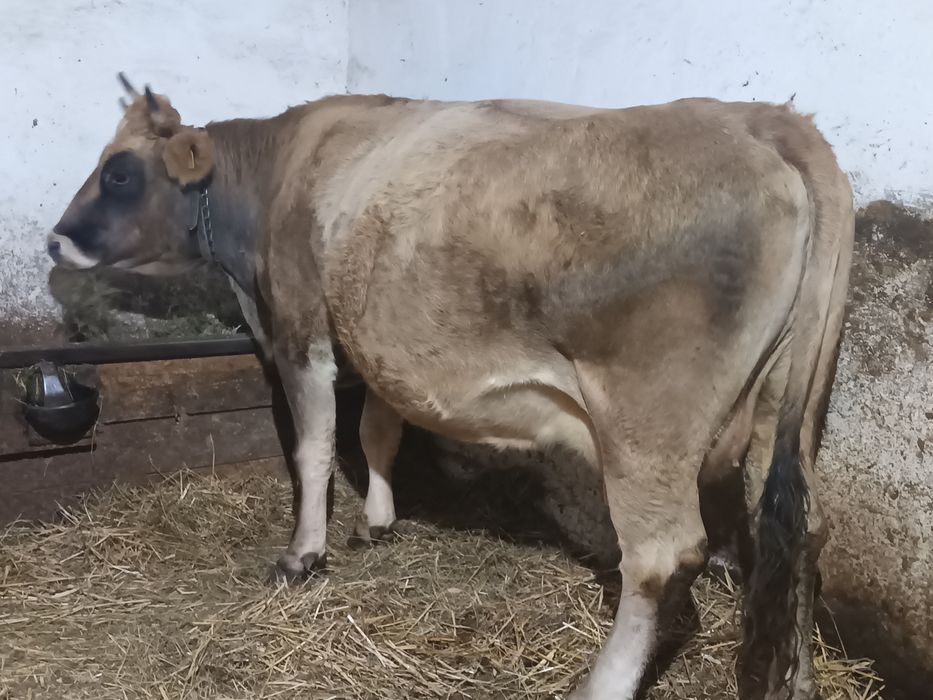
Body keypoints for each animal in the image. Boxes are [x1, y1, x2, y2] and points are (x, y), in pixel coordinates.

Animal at [47, 75, 854, 700]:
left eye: (119, 173)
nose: (55, 238)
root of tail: (758, 117)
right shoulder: (376, 336)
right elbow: (378, 428)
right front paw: (378, 519)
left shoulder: (302, 324)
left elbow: (313, 446)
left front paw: (303, 554)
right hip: (783, 401)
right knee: (803, 525)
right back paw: (799, 679)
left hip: (646, 420)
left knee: (660, 556)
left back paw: (600, 683)